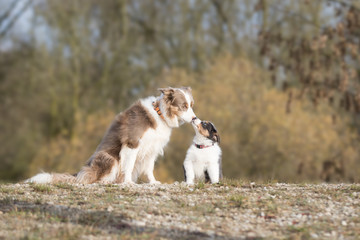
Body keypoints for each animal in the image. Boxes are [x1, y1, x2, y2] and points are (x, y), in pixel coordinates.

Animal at [26, 87, 197, 185]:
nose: (195, 119)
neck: (159, 113)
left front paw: (153, 183)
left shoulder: (152, 149)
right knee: (94, 178)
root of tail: (79, 173)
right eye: (183, 106)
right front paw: (128, 183)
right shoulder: (132, 143)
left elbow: (149, 169)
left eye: (191, 105)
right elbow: (128, 165)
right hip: (109, 157)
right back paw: (106, 181)